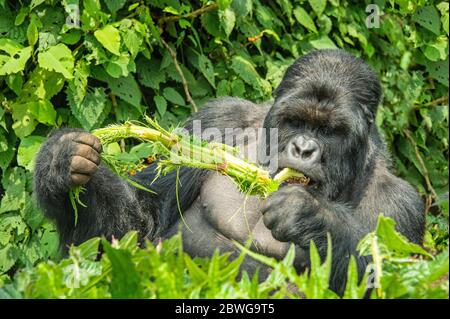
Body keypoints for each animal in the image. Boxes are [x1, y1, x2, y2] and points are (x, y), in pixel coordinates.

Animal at [35, 49, 426, 296]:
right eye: (296, 121)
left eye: (330, 131)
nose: (303, 149)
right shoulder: (218, 118)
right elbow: (137, 227)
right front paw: (62, 162)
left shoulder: (401, 206)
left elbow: (386, 279)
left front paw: (309, 215)